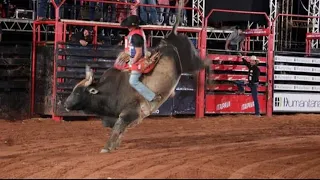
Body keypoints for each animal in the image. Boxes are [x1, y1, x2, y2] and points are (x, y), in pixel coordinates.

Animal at [64, 0, 210, 153]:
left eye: (78, 93)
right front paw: (115, 146)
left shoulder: (130, 112)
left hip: (191, 61)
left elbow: (117, 129)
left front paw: (107, 148)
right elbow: (120, 131)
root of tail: (171, 35)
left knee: (206, 63)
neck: (109, 92)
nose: (65, 104)